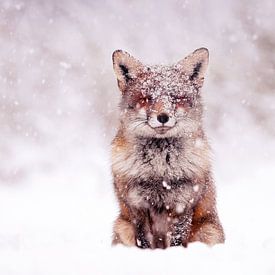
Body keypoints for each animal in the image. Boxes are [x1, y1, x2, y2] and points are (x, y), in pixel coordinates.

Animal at [111, 48, 225, 250]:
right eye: (146, 99)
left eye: (176, 98)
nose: (163, 117)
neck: (159, 171)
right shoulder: (137, 206)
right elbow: (143, 241)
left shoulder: (183, 204)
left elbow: (178, 241)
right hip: (122, 226)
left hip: (208, 231)